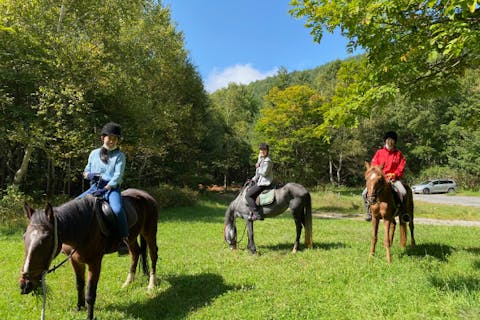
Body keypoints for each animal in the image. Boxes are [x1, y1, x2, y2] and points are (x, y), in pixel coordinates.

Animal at [18, 188, 158, 320]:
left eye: (46, 239)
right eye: (24, 237)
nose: (24, 284)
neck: (82, 227)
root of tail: (145, 195)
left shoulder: (94, 262)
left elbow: (90, 292)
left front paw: (89, 316)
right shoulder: (75, 260)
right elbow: (79, 285)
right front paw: (79, 308)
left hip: (150, 233)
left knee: (153, 255)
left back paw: (151, 285)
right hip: (131, 238)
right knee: (136, 253)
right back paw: (128, 282)